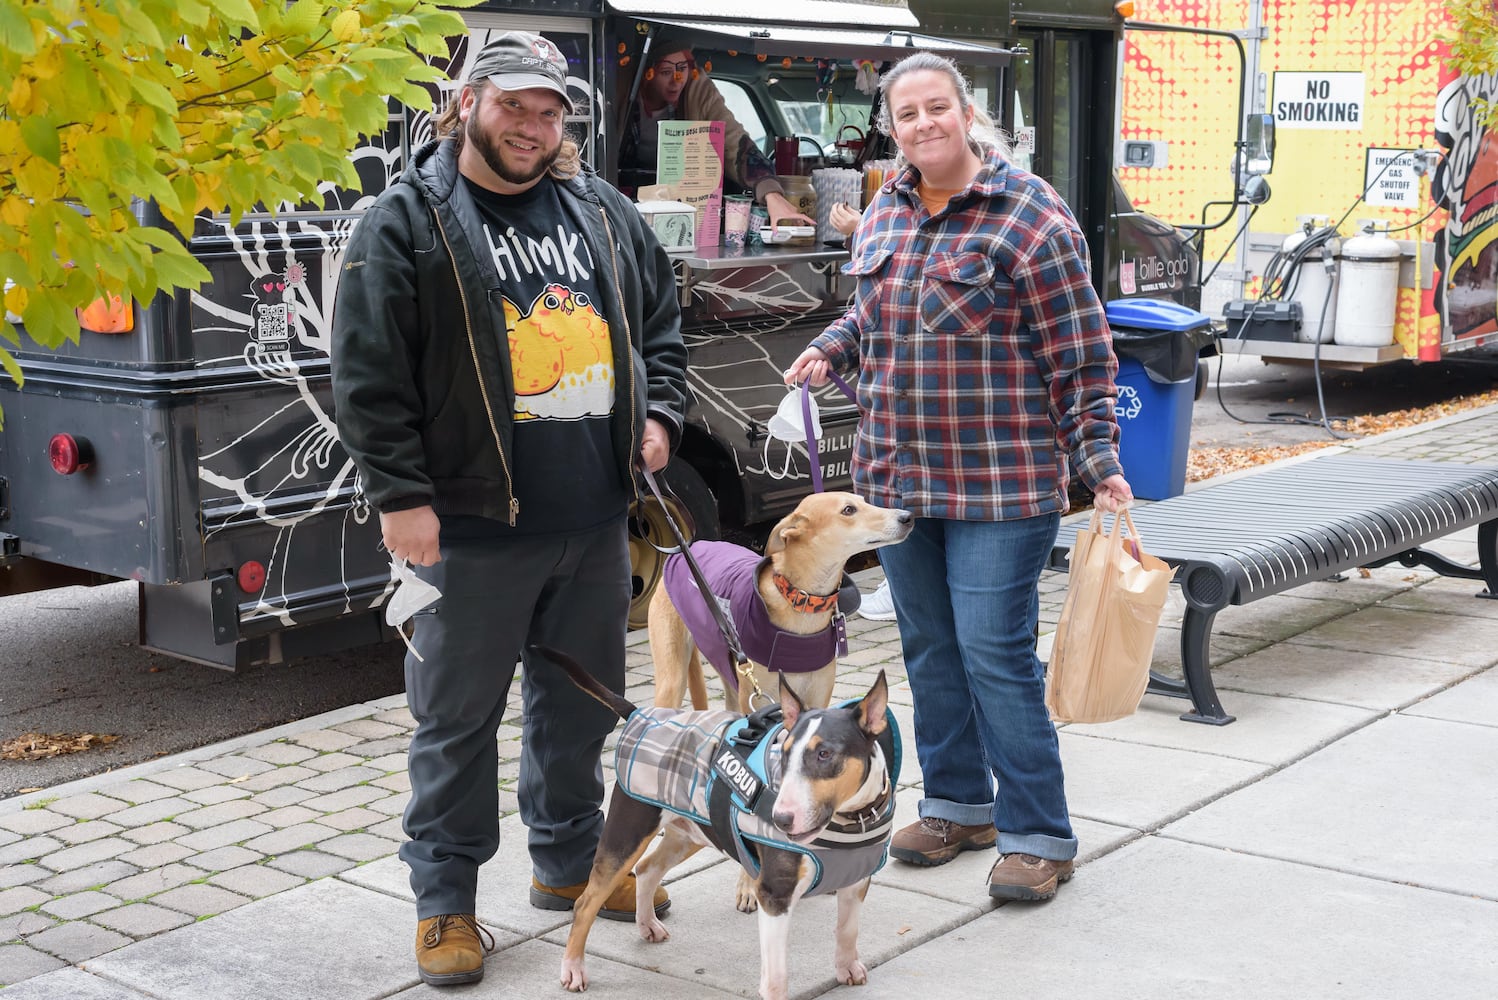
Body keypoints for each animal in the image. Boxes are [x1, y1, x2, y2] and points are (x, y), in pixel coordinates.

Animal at [647, 491, 910, 709]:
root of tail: (686, 549)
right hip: (673, 680)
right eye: (848, 510)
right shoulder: (757, 700)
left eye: (865, 501)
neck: (800, 600)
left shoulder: (817, 700)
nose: (907, 516)